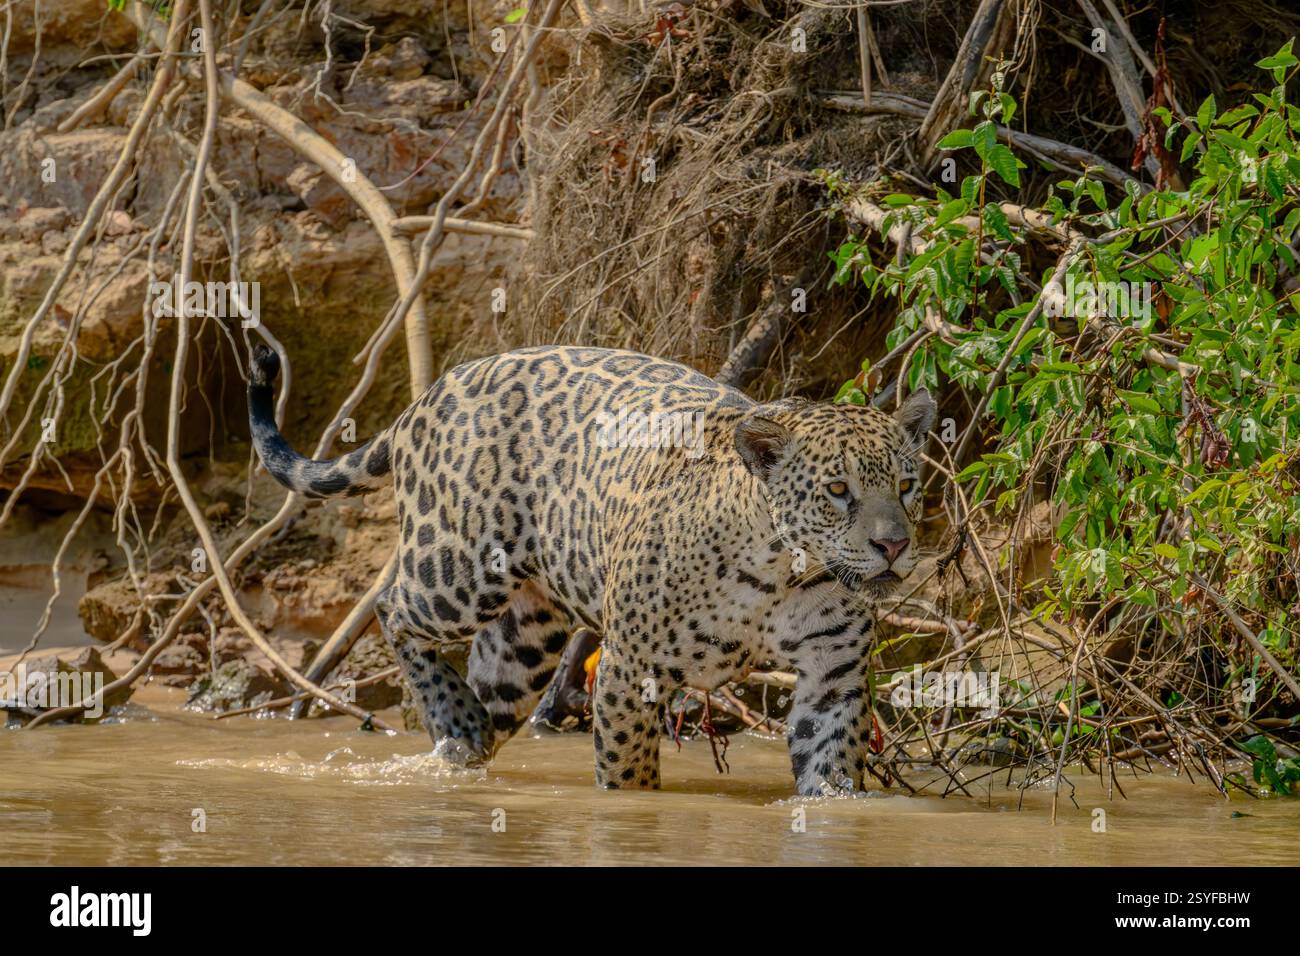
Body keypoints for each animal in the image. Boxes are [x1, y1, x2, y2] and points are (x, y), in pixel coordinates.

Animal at [248, 344, 937, 795]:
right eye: (839, 491)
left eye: (906, 485)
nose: (894, 546)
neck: (779, 572)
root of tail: (428, 394)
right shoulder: (630, 669)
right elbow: (628, 772)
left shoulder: (833, 675)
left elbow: (828, 767)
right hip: (458, 571)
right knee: (391, 608)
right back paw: (451, 720)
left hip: (526, 639)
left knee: (490, 684)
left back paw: (466, 739)